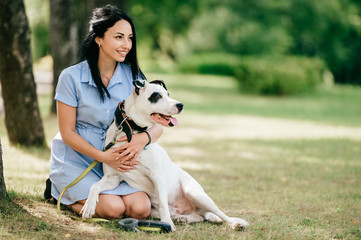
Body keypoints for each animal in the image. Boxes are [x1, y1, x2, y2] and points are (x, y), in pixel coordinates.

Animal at [80, 80, 248, 231]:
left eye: (168, 94)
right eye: (157, 96)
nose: (181, 105)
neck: (132, 132)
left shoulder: (157, 176)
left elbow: (162, 201)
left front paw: (167, 223)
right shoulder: (112, 178)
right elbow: (95, 186)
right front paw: (89, 205)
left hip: (194, 193)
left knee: (220, 214)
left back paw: (235, 223)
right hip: (155, 210)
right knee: (198, 217)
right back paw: (183, 218)